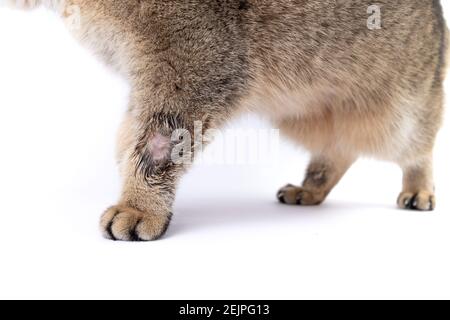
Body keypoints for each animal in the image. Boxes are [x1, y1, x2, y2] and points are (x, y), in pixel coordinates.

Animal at [2, 0, 446, 240]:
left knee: (418, 146)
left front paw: (139, 206)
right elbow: (130, 134)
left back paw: (419, 188)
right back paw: (310, 189)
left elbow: (156, 147)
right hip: (302, 112)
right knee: (338, 150)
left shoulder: (192, 68)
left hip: (400, 111)